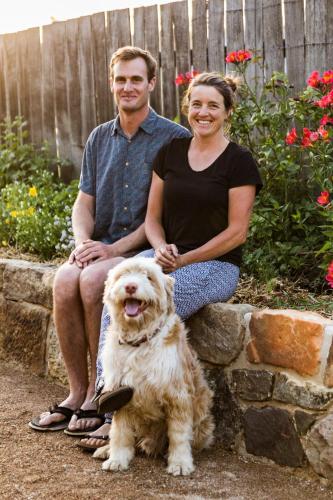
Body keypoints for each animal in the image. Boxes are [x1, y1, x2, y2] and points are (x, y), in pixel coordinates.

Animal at [92, 258, 214, 476]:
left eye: (148, 277)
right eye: (122, 275)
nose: (130, 286)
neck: (138, 341)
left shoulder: (177, 396)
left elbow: (179, 434)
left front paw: (180, 462)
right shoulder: (120, 395)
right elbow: (120, 432)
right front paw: (117, 458)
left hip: (202, 417)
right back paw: (106, 449)